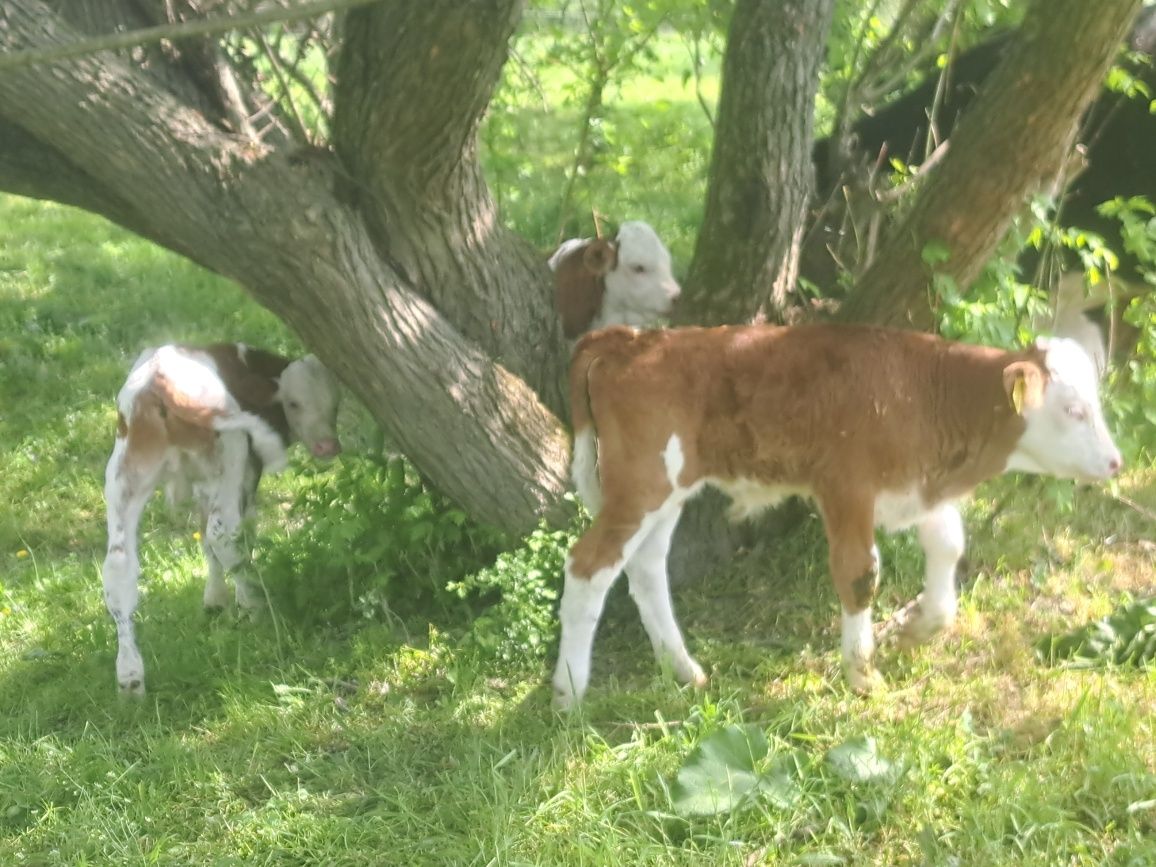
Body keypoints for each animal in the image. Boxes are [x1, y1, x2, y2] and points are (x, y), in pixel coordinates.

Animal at [101, 342, 337, 698]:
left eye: (335, 402)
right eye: (293, 403)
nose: (328, 446)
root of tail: (159, 383)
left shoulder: (201, 486)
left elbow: (204, 541)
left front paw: (214, 600)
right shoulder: (245, 475)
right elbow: (237, 533)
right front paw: (231, 598)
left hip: (124, 477)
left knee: (119, 566)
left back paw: (130, 675)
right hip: (229, 457)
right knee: (223, 534)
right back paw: (255, 605)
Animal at [550, 323, 1119, 707]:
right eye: (1073, 410)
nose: (1116, 462)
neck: (921, 393)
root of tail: (627, 339)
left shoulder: (916, 485)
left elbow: (948, 547)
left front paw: (916, 628)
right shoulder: (847, 486)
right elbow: (860, 574)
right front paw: (863, 676)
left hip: (669, 488)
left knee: (646, 567)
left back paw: (684, 670)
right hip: (642, 483)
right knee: (587, 568)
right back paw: (569, 691)